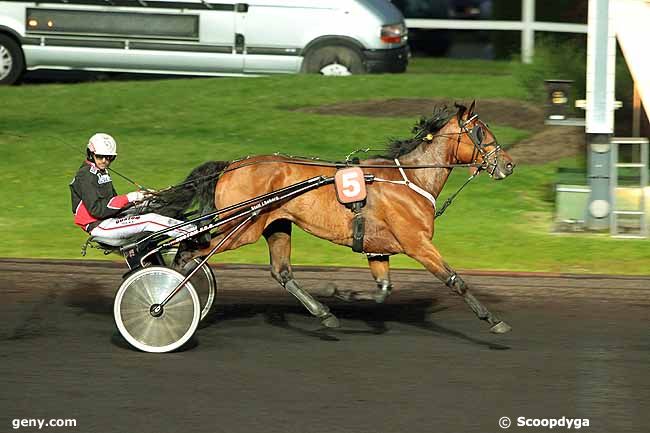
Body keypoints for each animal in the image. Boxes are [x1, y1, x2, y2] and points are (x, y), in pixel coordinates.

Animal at [147, 103, 512, 332]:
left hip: (276, 225)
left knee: (281, 272)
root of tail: (232, 165)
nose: (508, 164)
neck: (410, 179)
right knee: (189, 251)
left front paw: (340, 293)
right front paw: (493, 320)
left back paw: (324, 314)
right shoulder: (417, 243)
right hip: (239, 228)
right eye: (481, 132)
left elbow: (383, 289)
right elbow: (455, 279)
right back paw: (166, 298)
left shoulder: (377, 249)